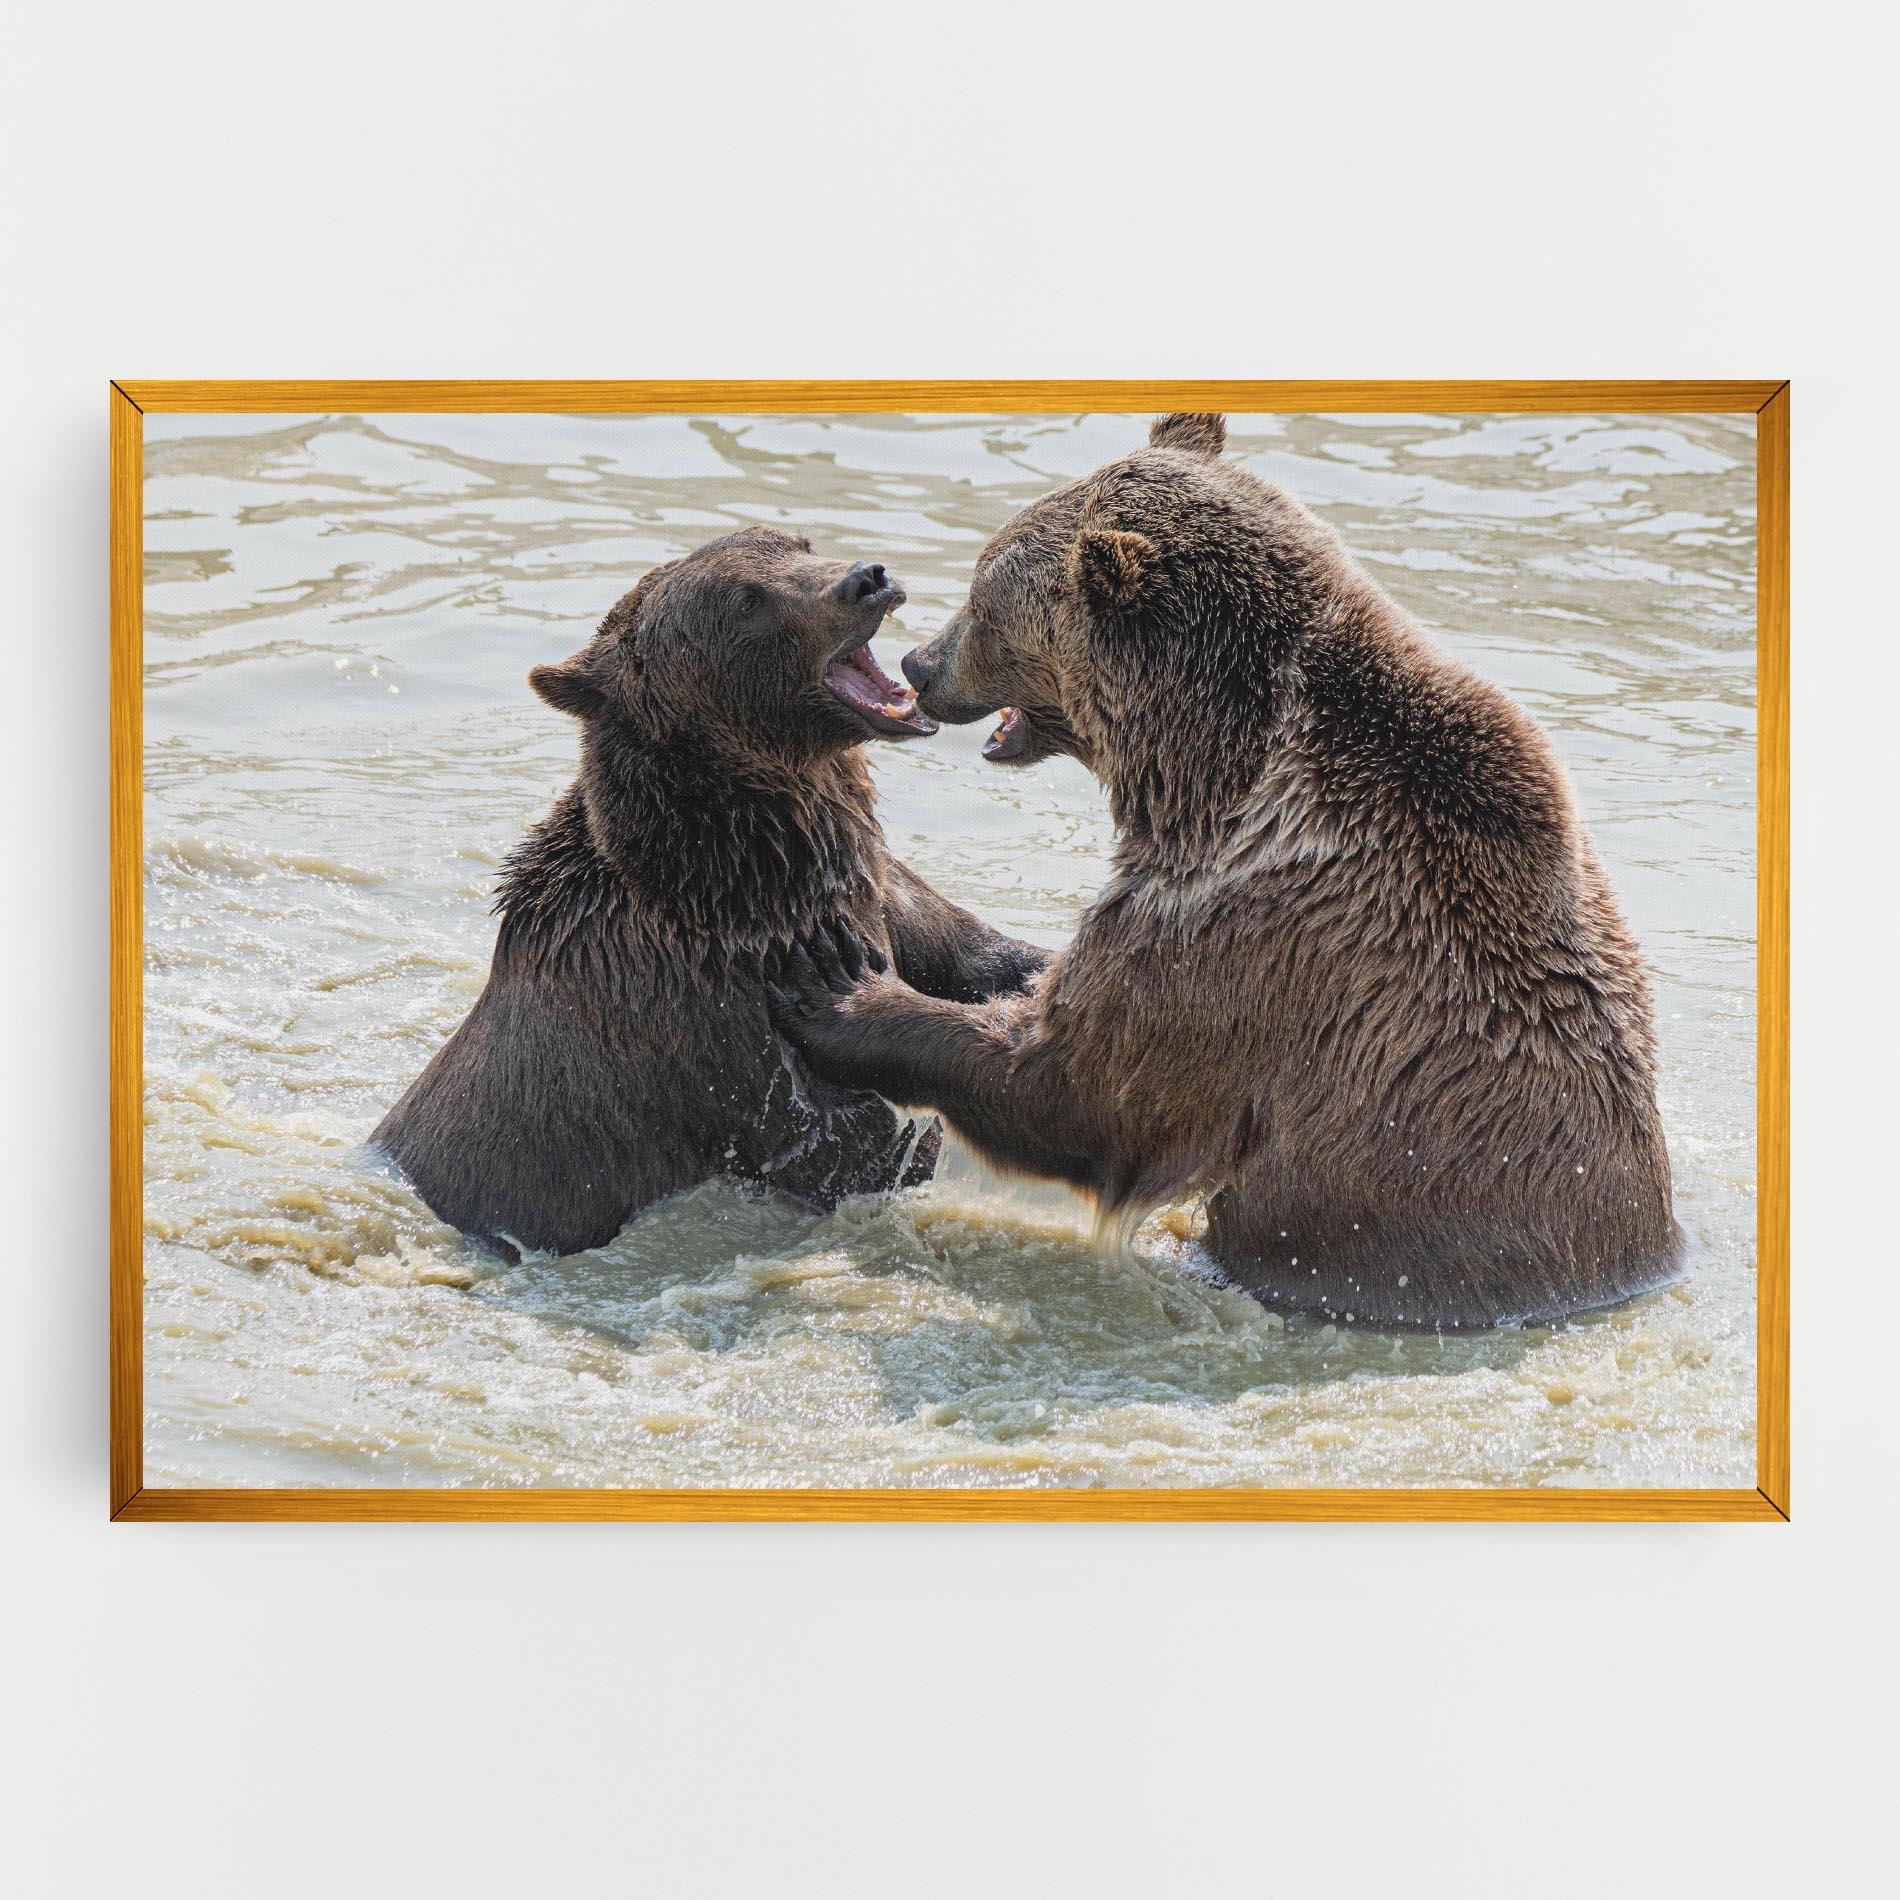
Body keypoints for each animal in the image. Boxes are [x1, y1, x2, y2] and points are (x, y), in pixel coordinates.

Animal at [371, 525, 1048, 1259]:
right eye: (747, 600)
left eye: (798, 543)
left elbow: (979, 954)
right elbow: (858, 1145)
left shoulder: (878, 890)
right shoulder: (723, 1029)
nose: (867, 579)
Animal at [767, 415, 1681, 1331]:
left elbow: (1079, 1086)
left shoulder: (1242, 932)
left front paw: (841, 989)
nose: (921, 664)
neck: (1206, 774)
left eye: (986, 601)